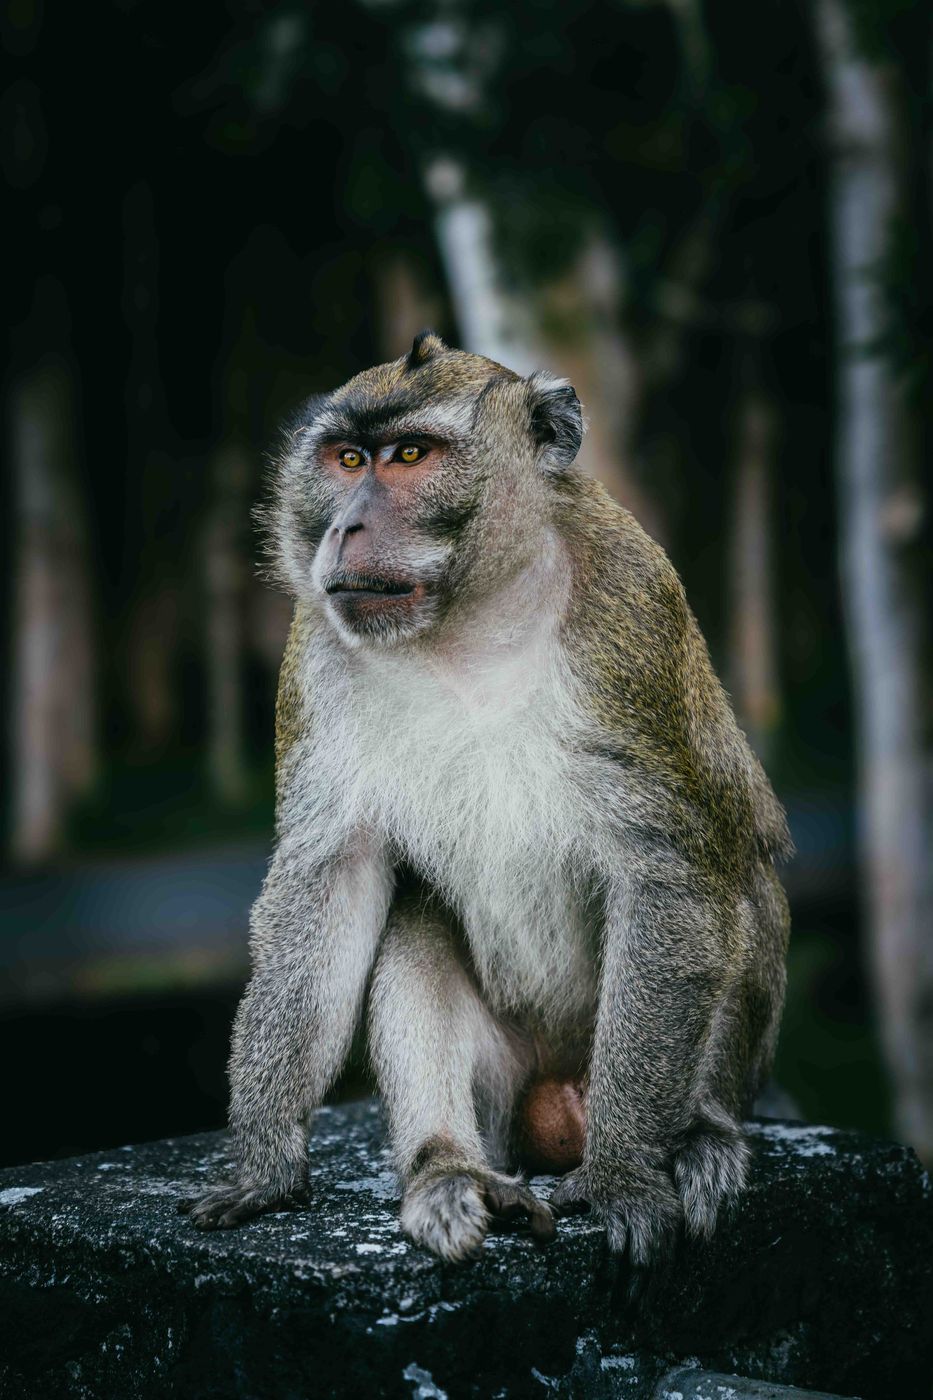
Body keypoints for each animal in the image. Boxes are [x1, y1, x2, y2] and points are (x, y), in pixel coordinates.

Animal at [179, 330, 792, 1269]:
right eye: (347, 458)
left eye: (410, 457)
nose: (346, 526)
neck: (469, 620)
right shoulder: (314, 649)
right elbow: (332, 880)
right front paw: (263, 1163)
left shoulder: (634, 613)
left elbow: (669, 877)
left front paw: (623, 1173)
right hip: (508, 1081)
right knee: (414, 921)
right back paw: (448, 1172)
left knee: (735, 885)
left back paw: (697, 1136)